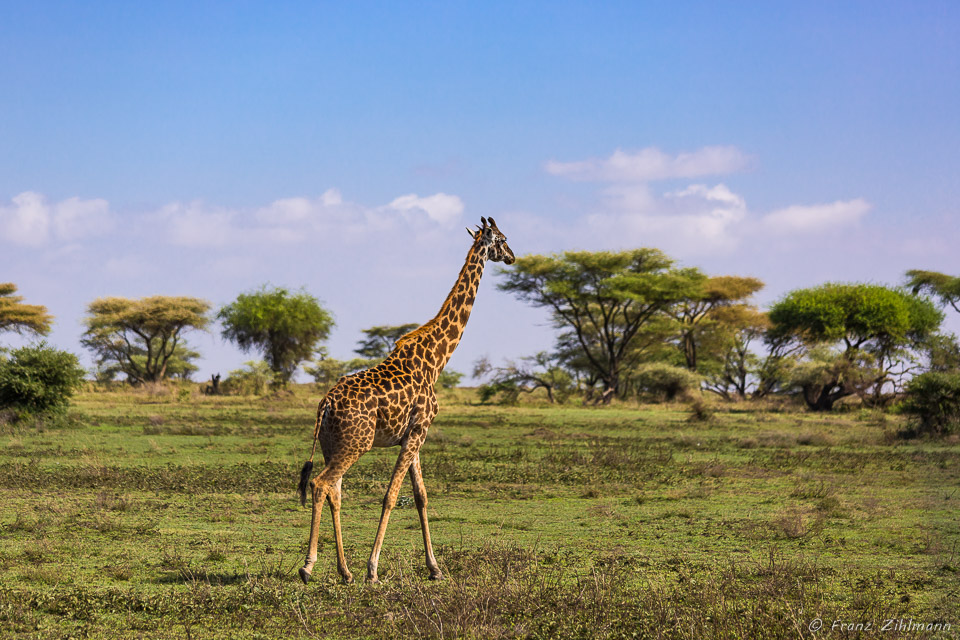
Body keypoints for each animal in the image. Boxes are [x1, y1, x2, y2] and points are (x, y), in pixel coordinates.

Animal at [296, 216, 512, 584]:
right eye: (502, 238)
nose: (512, 256)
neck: (437, 359)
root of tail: (325, 405)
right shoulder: (419, 431)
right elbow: (391, 496)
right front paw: (373, 570)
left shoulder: (414, 434)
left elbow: (421, 496)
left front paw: (435, 568)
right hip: (356, 443)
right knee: (321, 483)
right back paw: (310, 567)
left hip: (331, 443)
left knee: (334, 490)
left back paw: (344, 571)